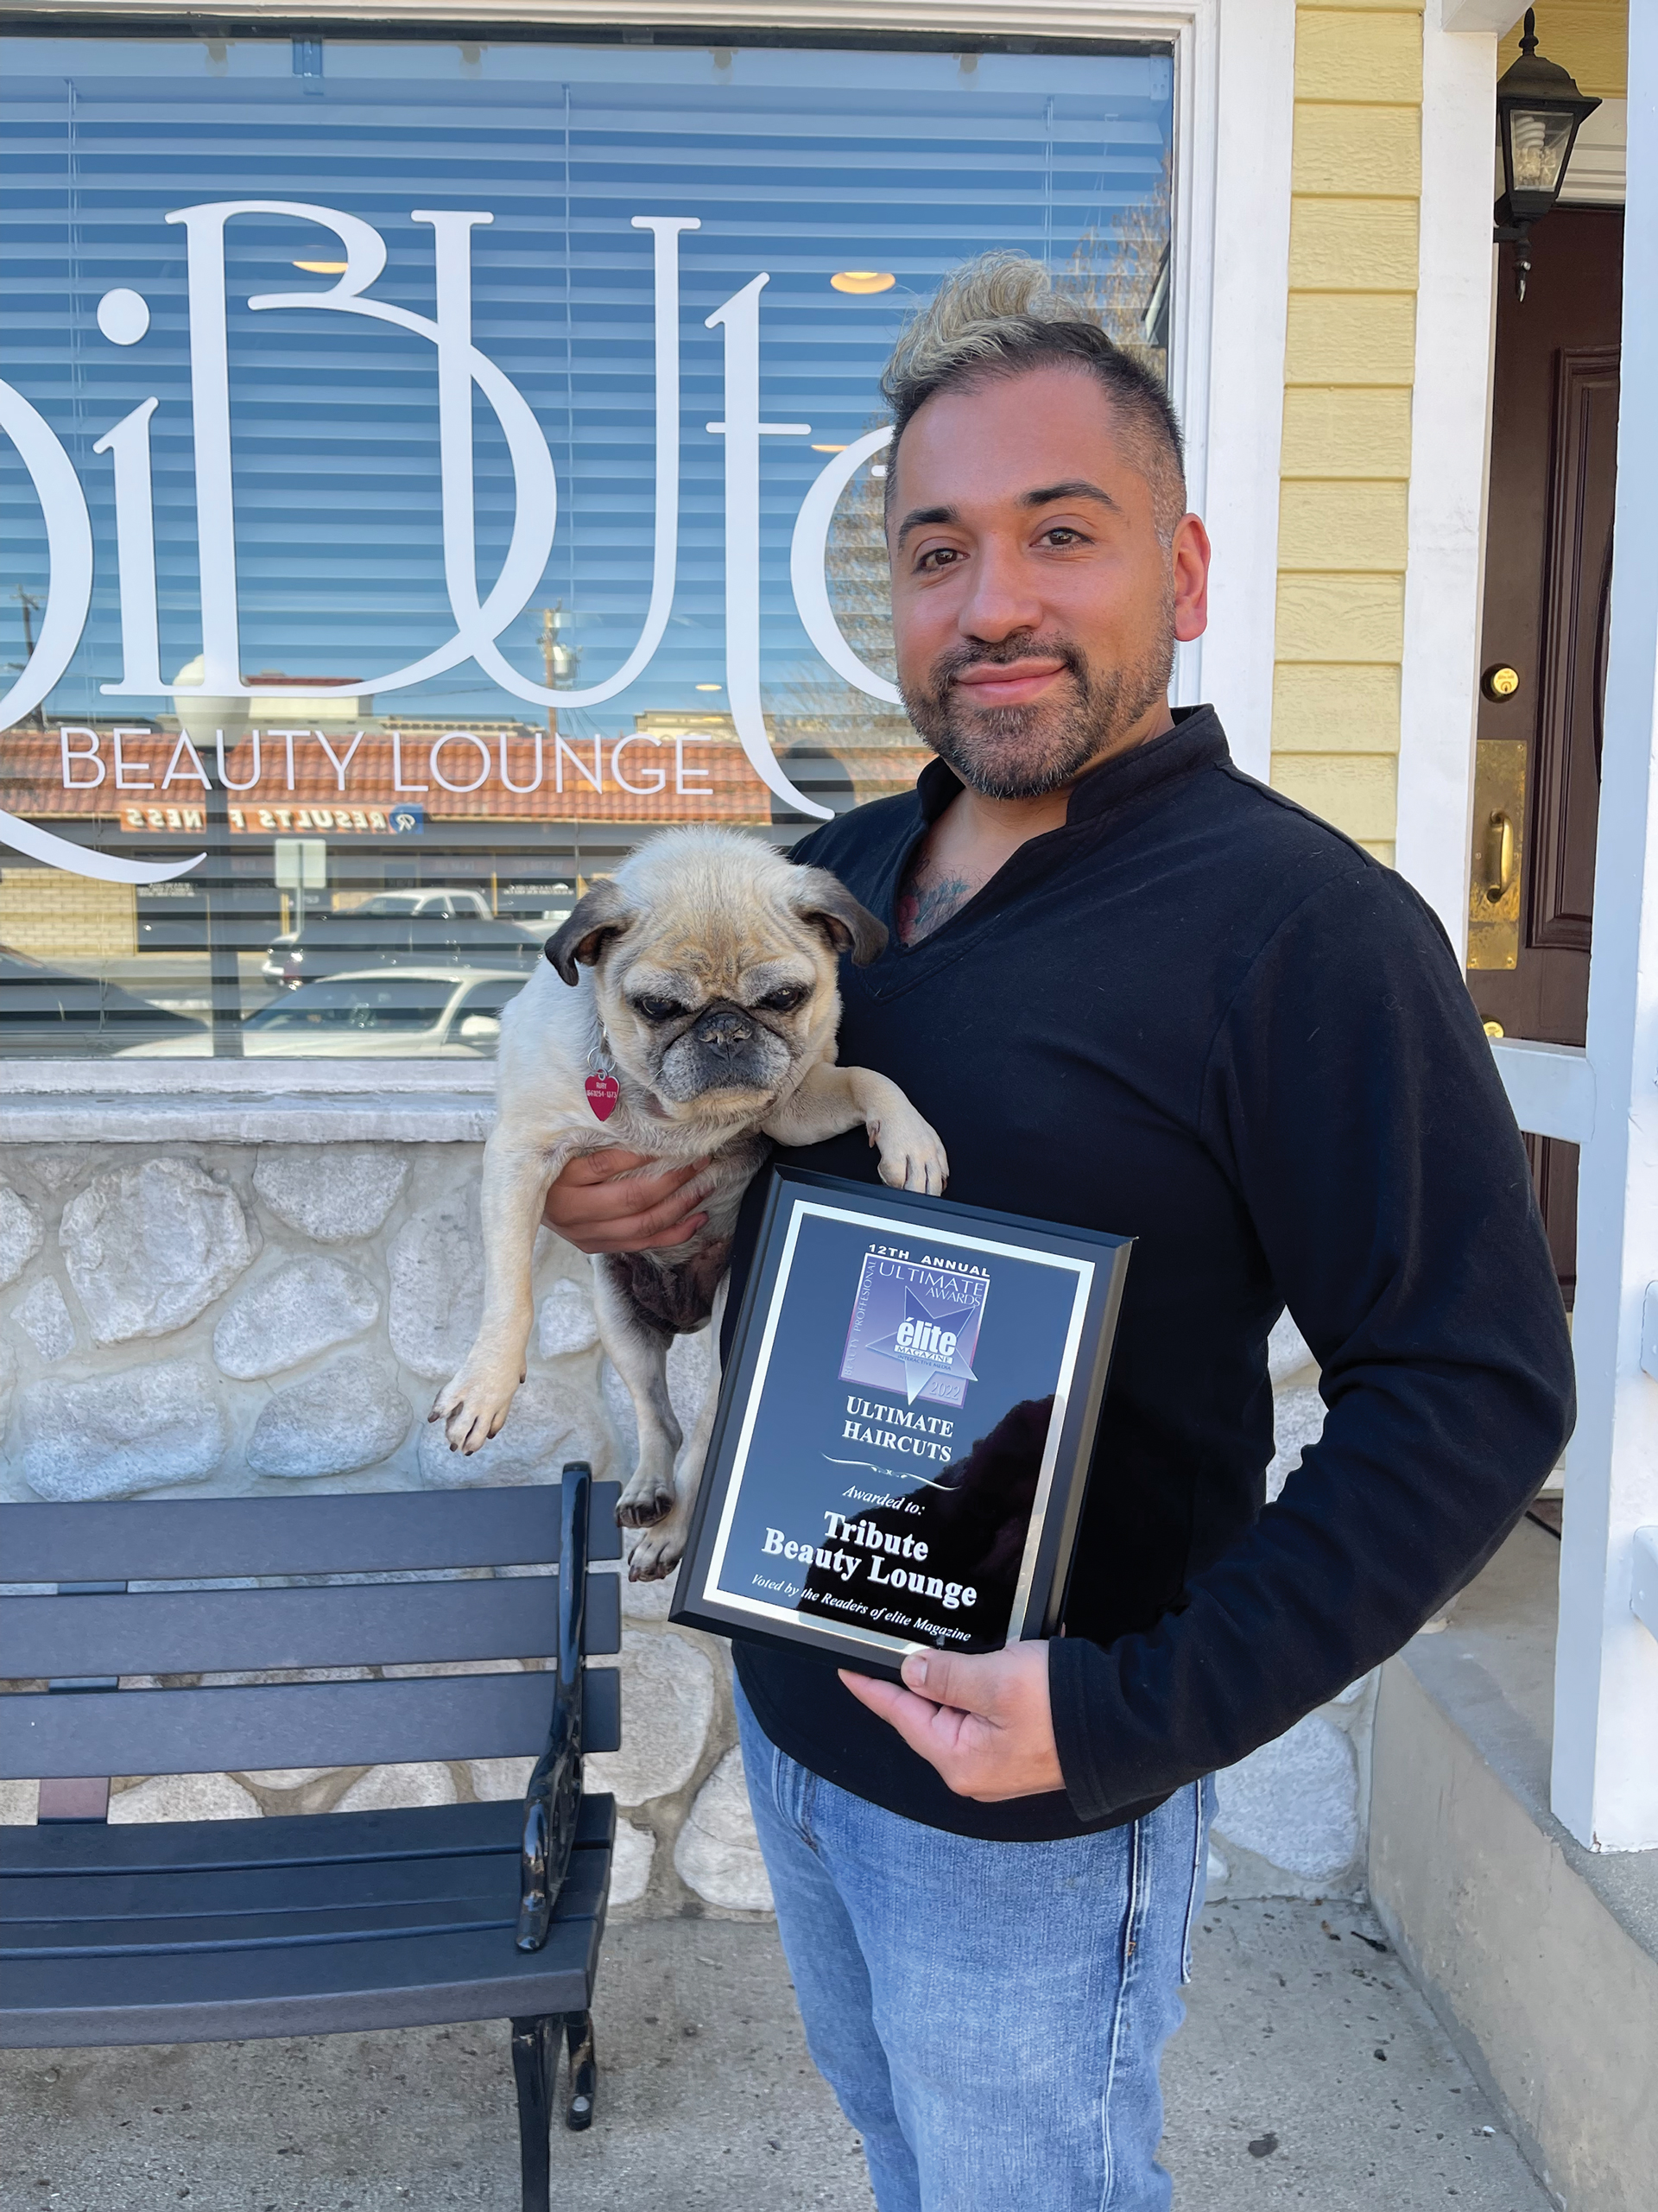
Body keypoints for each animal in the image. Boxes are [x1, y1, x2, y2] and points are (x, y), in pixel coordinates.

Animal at [431, 827, 948, 1581]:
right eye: (657, 1007)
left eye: (784, 997)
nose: (725, 1029)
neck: (672, 1115)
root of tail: (688, 1311)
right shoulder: (520, 1157)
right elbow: (509, 1294)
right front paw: (487, 1385)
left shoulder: (795, 1103)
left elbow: (865, 1076)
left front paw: (911, 1139)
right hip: (619, 1316)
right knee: (659, 1421)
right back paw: (649, 1491)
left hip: (732, 1328)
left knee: (701, 1442)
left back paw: (670, 1533)